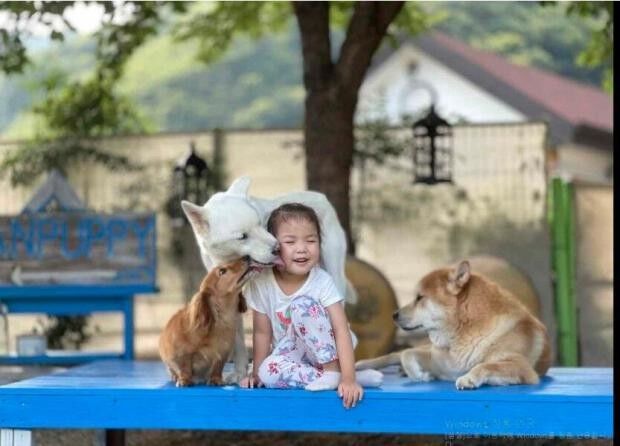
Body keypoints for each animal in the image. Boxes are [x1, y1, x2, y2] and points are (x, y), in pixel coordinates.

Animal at [180, 175, 354, 384]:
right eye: (242, 236)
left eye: (259, 223)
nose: (277, 248)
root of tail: (322, 197)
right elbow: (239, 342)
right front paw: (240, 373)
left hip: (334, 274)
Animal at [356, 260, 548, 388]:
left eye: (419, 297)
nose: (393, 315)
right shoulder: (436, 359)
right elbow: (407, 355)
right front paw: (421, 375)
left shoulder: (522, 368)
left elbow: (485, 365)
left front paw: (469, 378)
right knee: (394, 355)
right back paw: (362, 365)